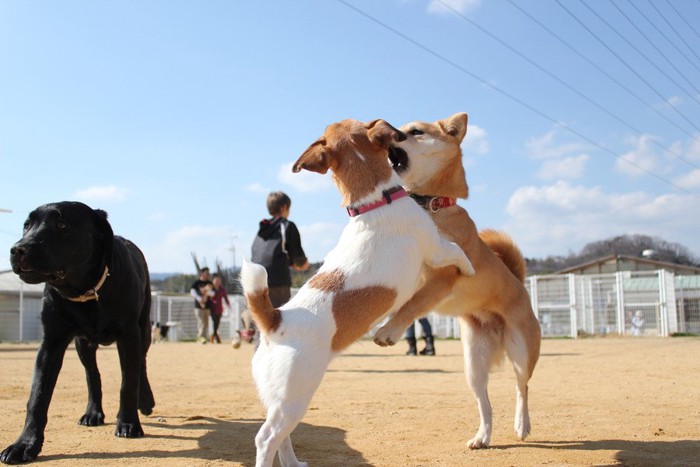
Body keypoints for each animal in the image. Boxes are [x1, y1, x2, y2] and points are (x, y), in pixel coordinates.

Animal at [1, 201, 154, 464]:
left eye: (62, 224)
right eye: (26, 225)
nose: (17, 249)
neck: (86, 290)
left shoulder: (129, 335)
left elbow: (128, 383)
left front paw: (128, 423)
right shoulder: (51, 343)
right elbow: (37, 397)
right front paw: (25, 444)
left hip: (143, 331)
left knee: (140, 366)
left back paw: (144, 401)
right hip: (83, 345)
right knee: (93, 376)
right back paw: (93, 412)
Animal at [241, 118, 476, 467]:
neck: (374, 201)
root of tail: (274, 320)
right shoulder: (435, 249)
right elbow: (458, 251)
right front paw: (471, 268)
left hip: (280, 399)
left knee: (282, 437)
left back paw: (294, 463)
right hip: (294, 397)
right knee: (266, 438)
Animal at [374, 112, 544, 450]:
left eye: (414, 132)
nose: (387, 133)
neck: (429, 207)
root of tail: (519, 283)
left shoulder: (442, 277)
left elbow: (412, 305)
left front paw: (388, 330)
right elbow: (396, 301)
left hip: (521, 352)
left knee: (522, 388)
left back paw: (522, 424)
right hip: (473, 365)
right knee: (485, 404)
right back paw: (483, 437)